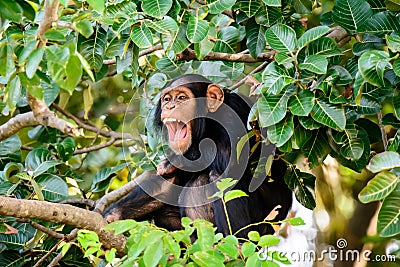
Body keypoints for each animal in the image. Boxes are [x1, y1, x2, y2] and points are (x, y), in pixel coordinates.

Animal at [102, 74, 290, 239]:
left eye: (182, 98)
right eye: (167, 99)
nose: (170, 106)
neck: (209, 122)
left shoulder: (234, 114)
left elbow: (232, 157)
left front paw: (173, 161)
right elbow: (167, 185)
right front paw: (113, 216)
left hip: (261, 226)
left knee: (219, 177)